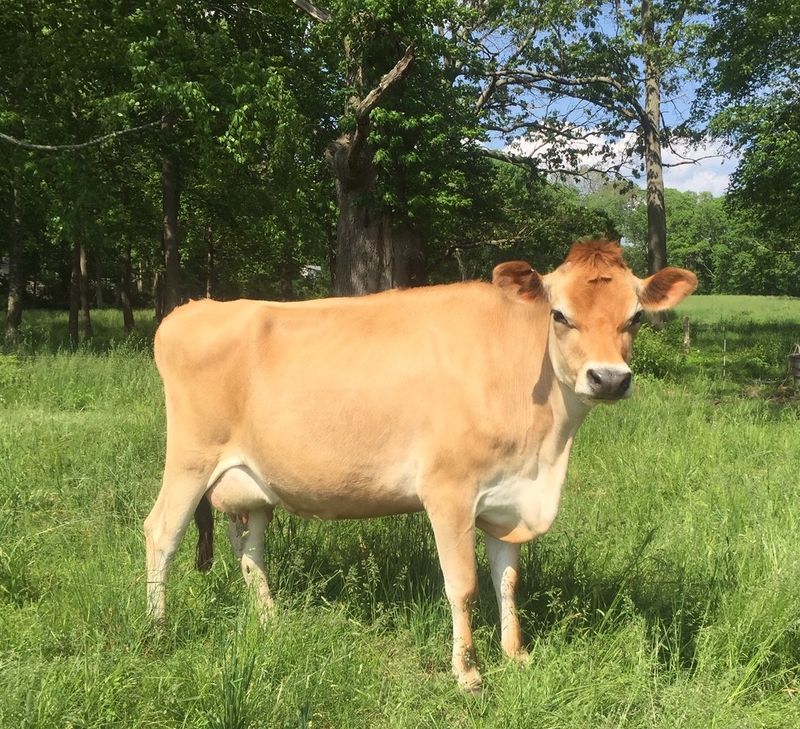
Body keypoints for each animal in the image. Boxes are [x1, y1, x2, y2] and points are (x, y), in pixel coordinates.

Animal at [144, 239, 696, 692]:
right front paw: (468, 672)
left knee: (251, 550)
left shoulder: (507, 498)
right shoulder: (448, 491)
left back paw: (270, 621)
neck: (544, 455)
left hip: (253, 481)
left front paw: (515, 654)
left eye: (636, 317)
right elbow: (463, 584)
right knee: (161, 532)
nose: (609, 379)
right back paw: (157, 630)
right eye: (559, 315)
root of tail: (194, 309)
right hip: (191, 457)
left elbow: (508, 578)